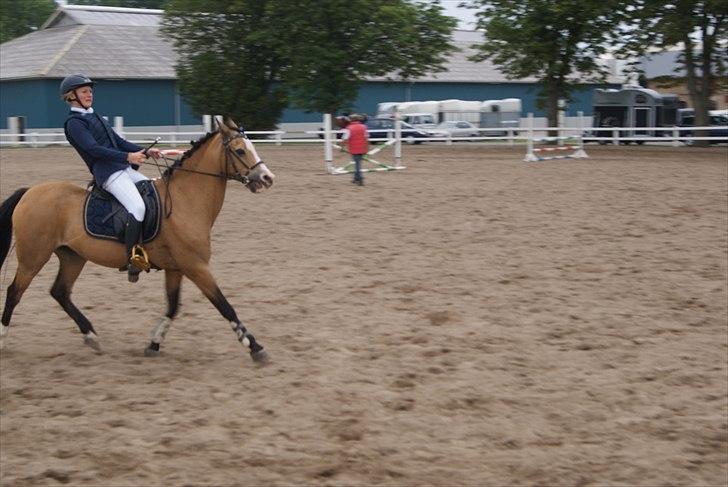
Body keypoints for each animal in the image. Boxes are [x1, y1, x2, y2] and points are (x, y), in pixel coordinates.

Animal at [0, 116, 275, 363]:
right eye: (240, 150)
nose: (267, 178)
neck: (185, 199)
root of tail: (29, 192)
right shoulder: (196, 266)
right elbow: (224, 305)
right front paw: (255, 346)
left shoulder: (176, 268)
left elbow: (172, 306)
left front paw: (153, 344)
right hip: (33, 257)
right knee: (15, 291)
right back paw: (3, 340)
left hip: (73, 256)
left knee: (60, 292)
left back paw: (91, 335)